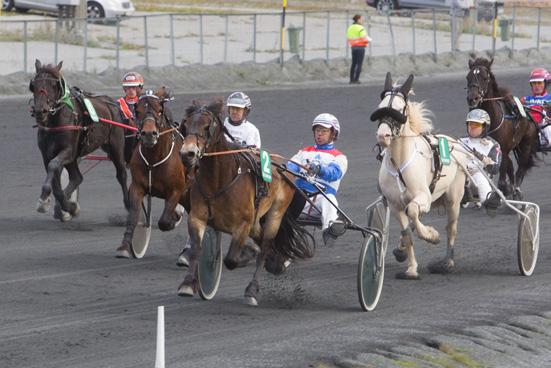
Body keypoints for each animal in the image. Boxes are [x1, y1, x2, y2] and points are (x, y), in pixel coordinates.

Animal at [30, 59, 129, 221]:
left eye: (54, 85)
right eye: (34, 85)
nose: (40, 111)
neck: (56, 121)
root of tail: (112, 103)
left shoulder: (68, 151)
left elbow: (53, 166)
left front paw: (44, 200)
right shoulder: (47, 153)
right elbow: (55, 180)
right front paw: (66, 206)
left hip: (116, 146)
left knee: (121, 174)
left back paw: (129, 205)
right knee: (77, 177)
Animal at [116, 87, 190, 258]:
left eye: (160, 110)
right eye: (137, 111)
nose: (149, 134)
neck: (154, 159)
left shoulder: (176, 190)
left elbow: (164, 221)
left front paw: (172, 219)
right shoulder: (137, 187)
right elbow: (133, 216)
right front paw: (125, 246)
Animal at [177, 99, 314, 306]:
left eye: (207, 126)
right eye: (185, 126)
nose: (188, 153)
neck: (219, 181)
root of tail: (284, 166)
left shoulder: (242, 224)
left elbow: (231, 260)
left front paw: (246, 258)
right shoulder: (197, 217)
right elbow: (196, 250)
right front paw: (187, 284)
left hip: (276, 213)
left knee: (265, 245)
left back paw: (253, 288)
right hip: (257, 220)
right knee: (261, 239)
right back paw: (274, 261)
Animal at [370, 72, 470, 278]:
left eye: (399, 109)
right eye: (381, 107)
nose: (382, 135)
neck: (399, 164)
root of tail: (453, 142)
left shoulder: (423, 196)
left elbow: (414, 212)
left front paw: (432, 236)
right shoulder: (395, 205)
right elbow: (408, 232)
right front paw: (411, 268)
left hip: (453, 199)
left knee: (451, 228)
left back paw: (447, 262)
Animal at [466, 56, 540, 198]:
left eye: (485, 78)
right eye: (468, 77)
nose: (472, 98)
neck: (490, 120)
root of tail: (528, 112)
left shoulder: (503, 149)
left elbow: (501, 178)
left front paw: (506, 191)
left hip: (526, 144)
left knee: (521, 168)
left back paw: (516, 191)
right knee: (511, 168)